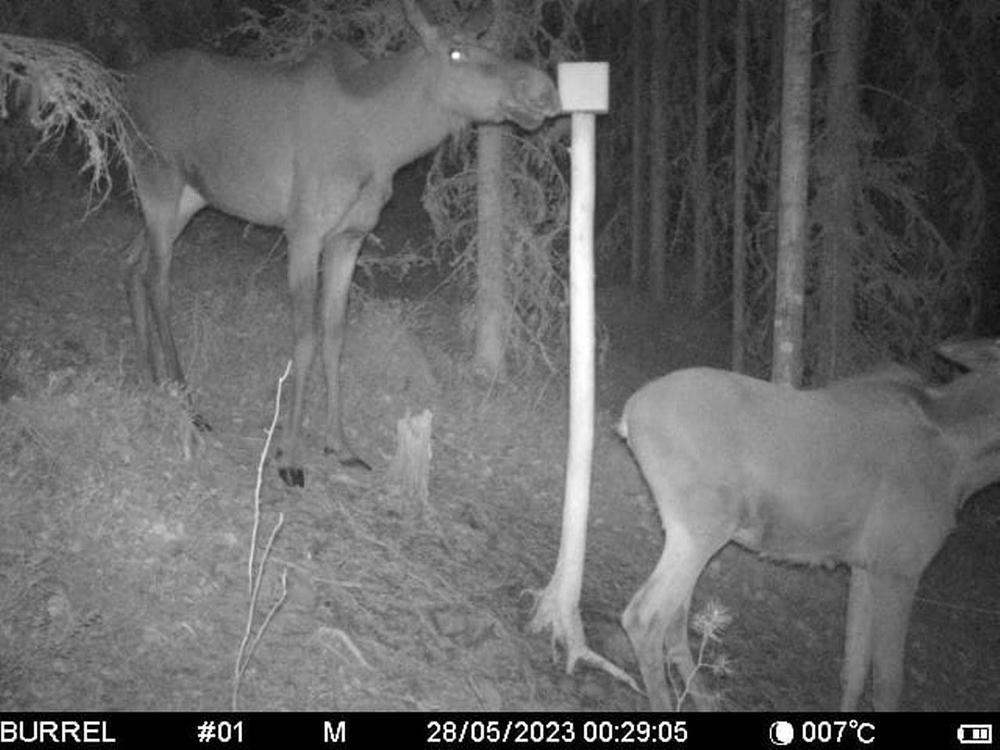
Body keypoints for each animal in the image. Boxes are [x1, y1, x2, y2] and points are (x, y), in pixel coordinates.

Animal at [124, 0, 560, 487]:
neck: (384, 149)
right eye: (456, 52)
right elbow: (306, 336)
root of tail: (125, 86)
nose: (543, 88)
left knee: (131, 262)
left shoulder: (349, 238)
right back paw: (186, 400)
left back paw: (149, 379)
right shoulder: (303, 231)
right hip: (158, 179)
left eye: (486, 43)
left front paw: (341, 444)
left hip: (188, 198)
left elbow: (334, 334)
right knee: (158, 281)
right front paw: (289, 456)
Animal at [616, 338, 1000, 711]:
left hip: (692, 530)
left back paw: (705, 701)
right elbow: (889, 683)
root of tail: (629, 414)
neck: (961, 467)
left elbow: (853, 670)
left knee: (675, 618)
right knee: (645, 616)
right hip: (702, 524)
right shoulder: (900, 564)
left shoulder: (865, 566)